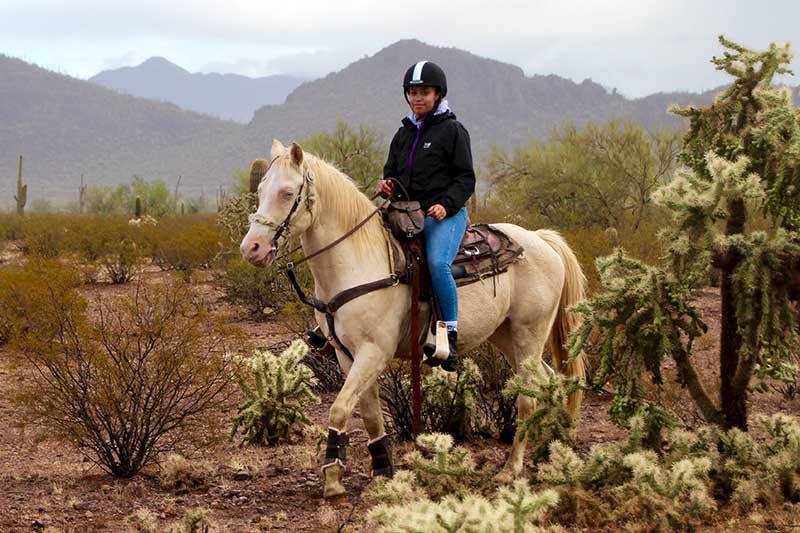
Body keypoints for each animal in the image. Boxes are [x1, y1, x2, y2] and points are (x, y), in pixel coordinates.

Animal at [241, 139, 584, 496]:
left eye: (287, 193)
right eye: (260, 189)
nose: (252, 248)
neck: (359, 260)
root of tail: (541, 239)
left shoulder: (374, 351)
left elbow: (339, 409)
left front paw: (333, 480)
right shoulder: (347, 353)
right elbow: (370, 414)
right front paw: (381, 469)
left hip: (528, 334)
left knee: (528, 397)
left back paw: (511, 468)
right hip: (505, 336)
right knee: (550, 381)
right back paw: (554, 447)